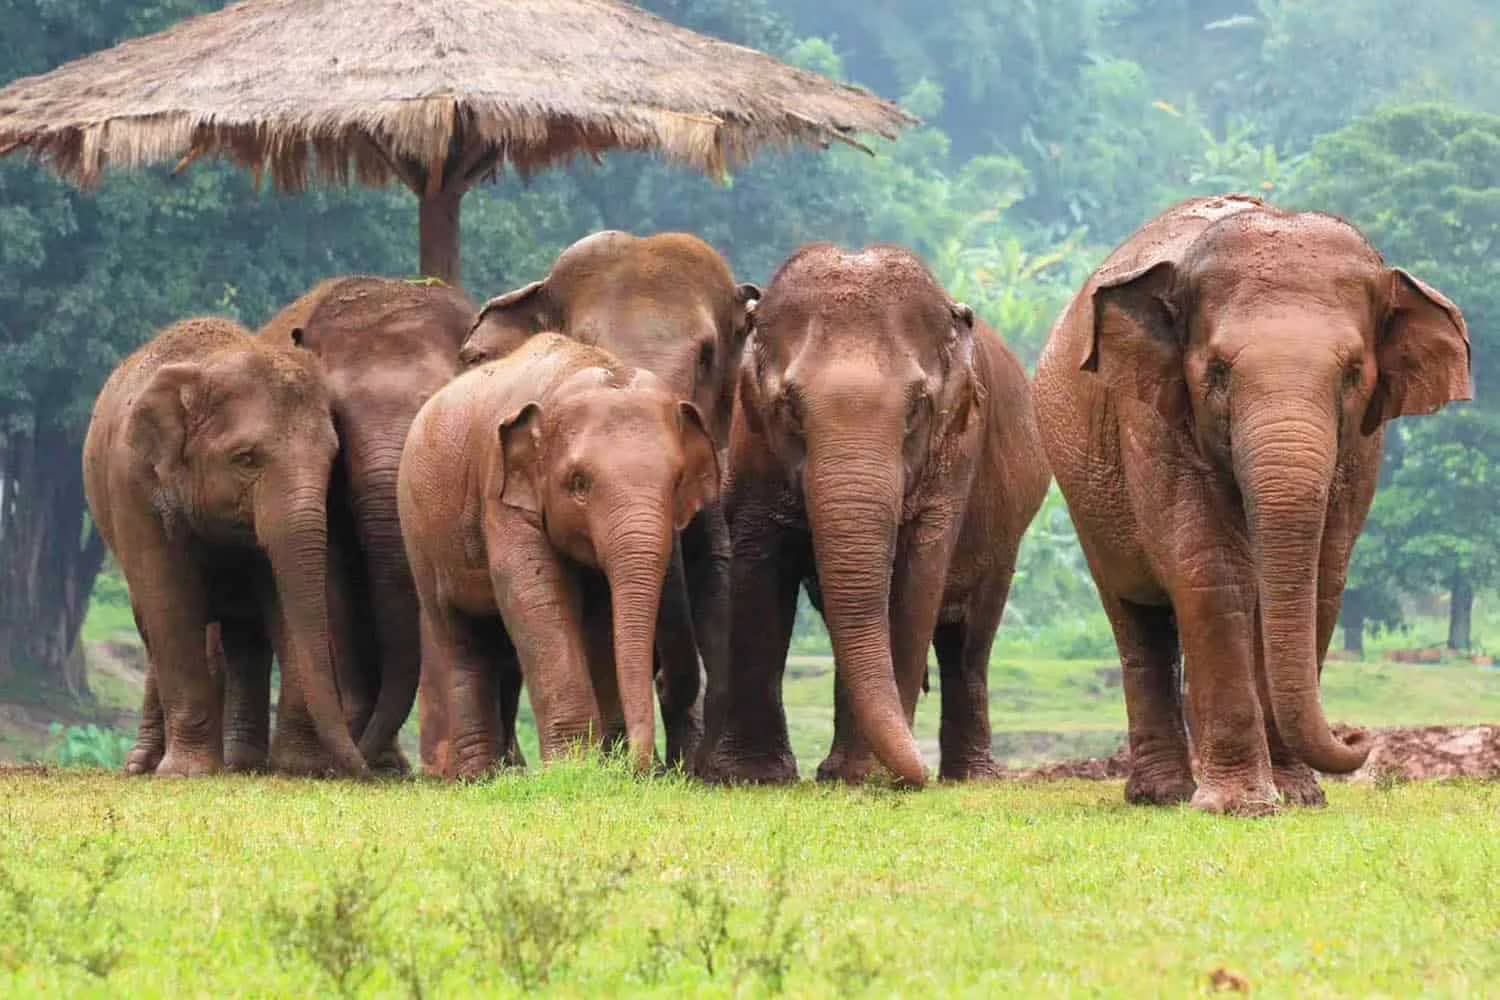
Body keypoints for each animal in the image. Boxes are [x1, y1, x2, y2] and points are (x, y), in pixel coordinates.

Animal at [82, 318, 366, 777]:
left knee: (243, 634)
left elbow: (282, 602)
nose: (362, 769)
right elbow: (170, 601)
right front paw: (186, 773)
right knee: (152, 624)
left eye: (332, 459)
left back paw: (241, 763)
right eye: (246, 458)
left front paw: (298, 768)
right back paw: (143, 766)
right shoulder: (133, 483)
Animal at [398, 333, 721, 777]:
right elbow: (538, 598)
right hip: (420, 531)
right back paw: (477, 777)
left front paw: (605, 762)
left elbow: (601, 617)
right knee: (458, 634)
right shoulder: (501, 494)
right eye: (578, 483)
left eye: (676, 483)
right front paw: (573, 768)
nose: (641, 768)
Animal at [701, 244, 1050, 787]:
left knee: (969, 640)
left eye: (918, 407)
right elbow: (759, 573)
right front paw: (753, 776)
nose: (918, 774)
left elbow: (913, 585)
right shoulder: (751, 445)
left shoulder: (954, 459)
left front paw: (868, 776)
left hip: (1008, 532)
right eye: (790, 408)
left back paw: (967, 777)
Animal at [1033, 195, 1471, 815]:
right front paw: (1238, 806)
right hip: (1083, 495)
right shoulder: (1152, 420)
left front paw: (1299, 796)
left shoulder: (1363, 445)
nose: (1359, 736)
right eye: (1217, 372)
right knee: (1136, 617)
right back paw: (1163, 795)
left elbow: (1322, 580)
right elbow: (1210, 573)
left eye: (1353, 374)